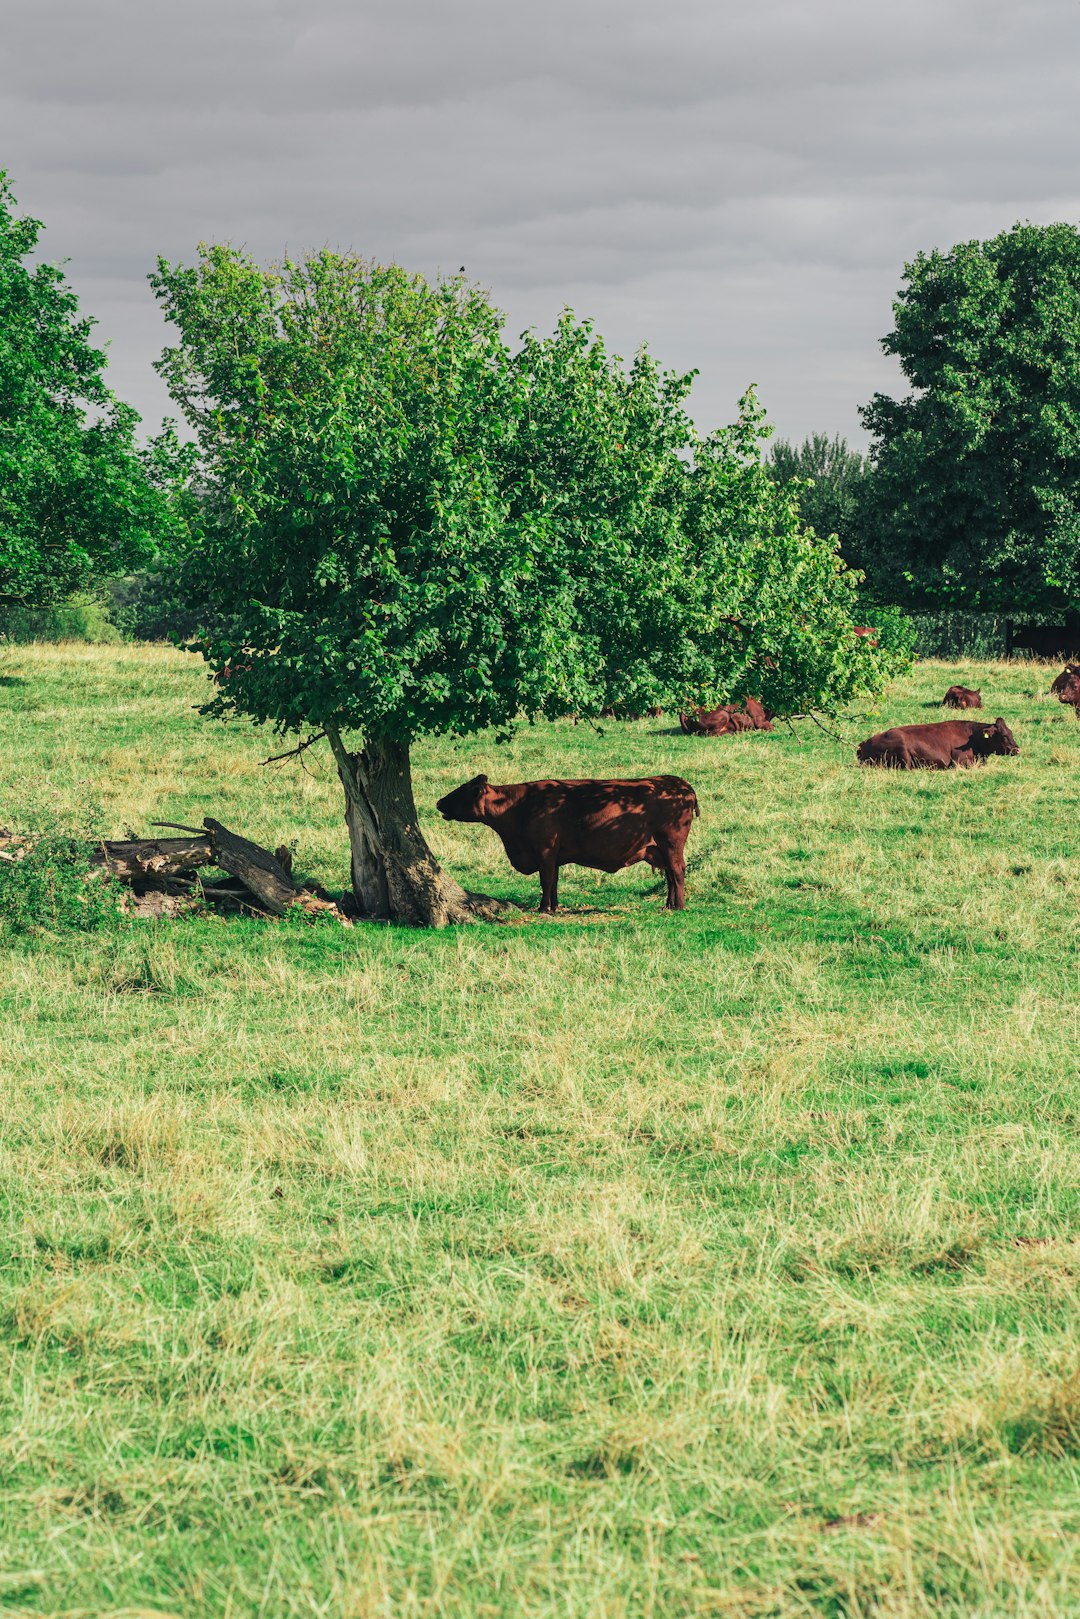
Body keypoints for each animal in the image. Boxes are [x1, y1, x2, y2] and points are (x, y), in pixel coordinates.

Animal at [440, 770, 702, 913]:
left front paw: (544, 908)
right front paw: (554, 906)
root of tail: (680, 784)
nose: (439, 802)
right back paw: (668, 904)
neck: (521, 806)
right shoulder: (553, 855)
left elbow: (546, 880)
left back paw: (678, 906)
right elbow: (554, 881)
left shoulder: (545, 850)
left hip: (671, 844)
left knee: (677, 872)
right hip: (660, 848)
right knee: (671, 875)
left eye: (461, 791)